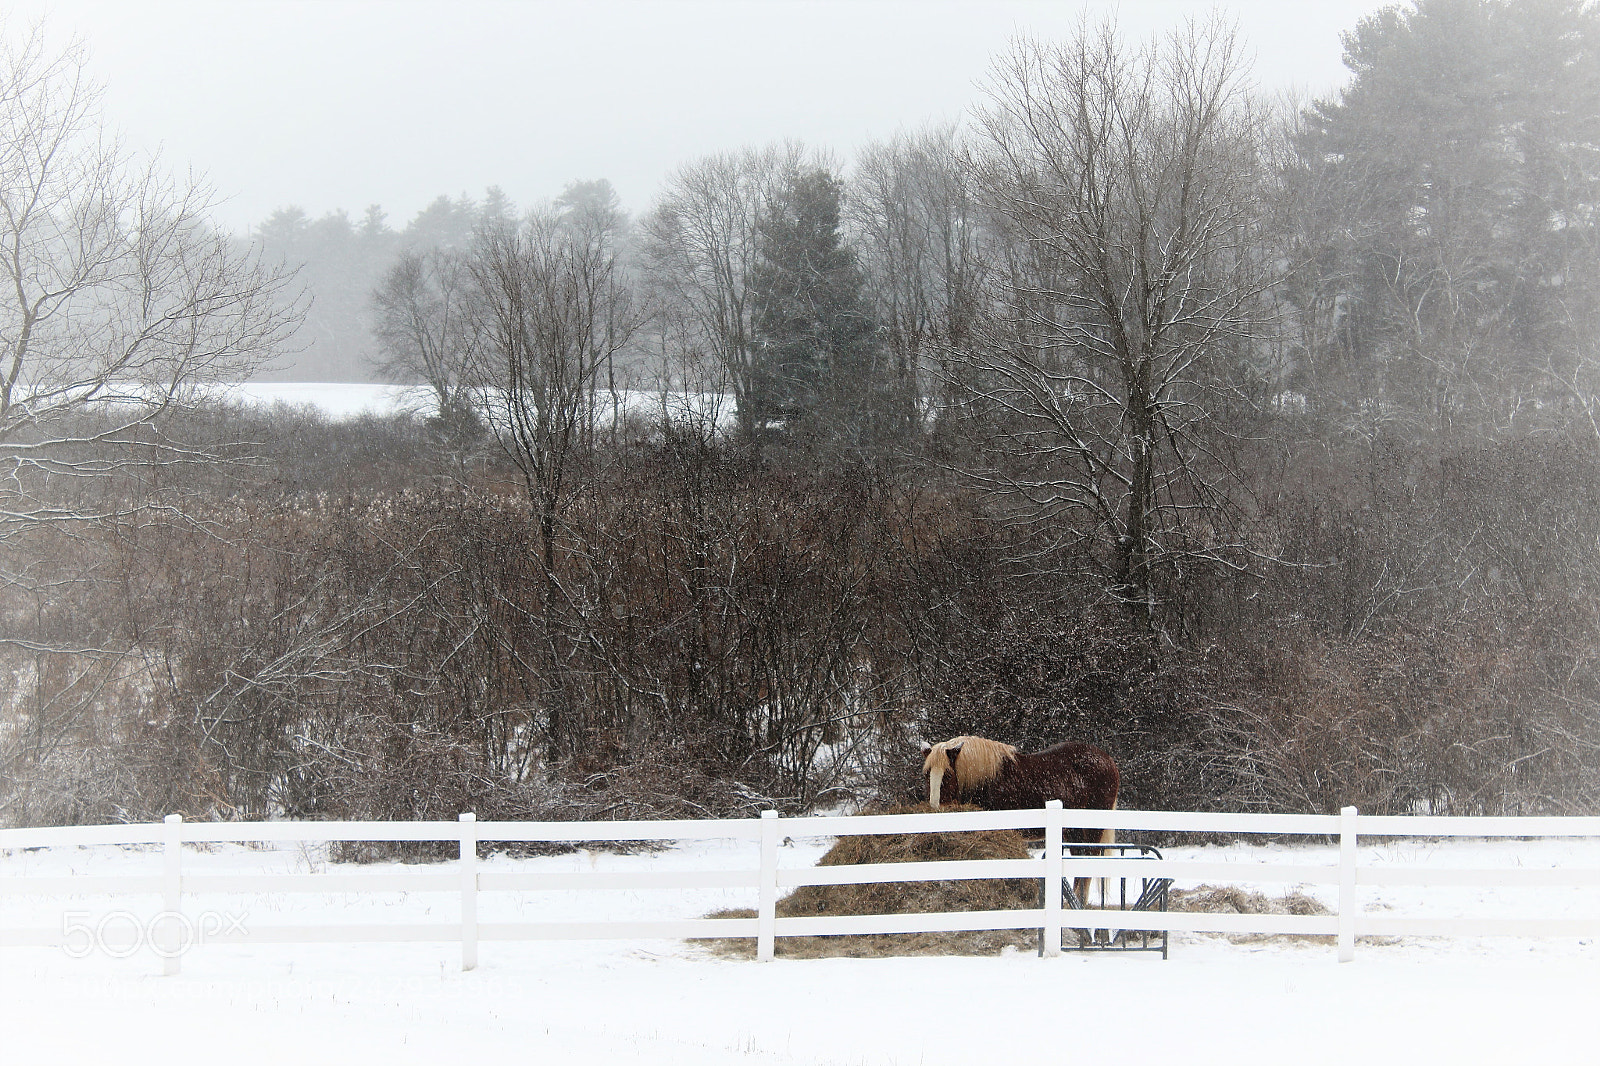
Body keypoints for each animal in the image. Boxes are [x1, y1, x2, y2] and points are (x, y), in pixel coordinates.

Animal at [919, 735, 1120, 909]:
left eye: (947, 775)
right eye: (927, 774)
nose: (934, 808)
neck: (986, 780)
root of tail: (1108, 760)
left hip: (1091, 829)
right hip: (1073, 832)